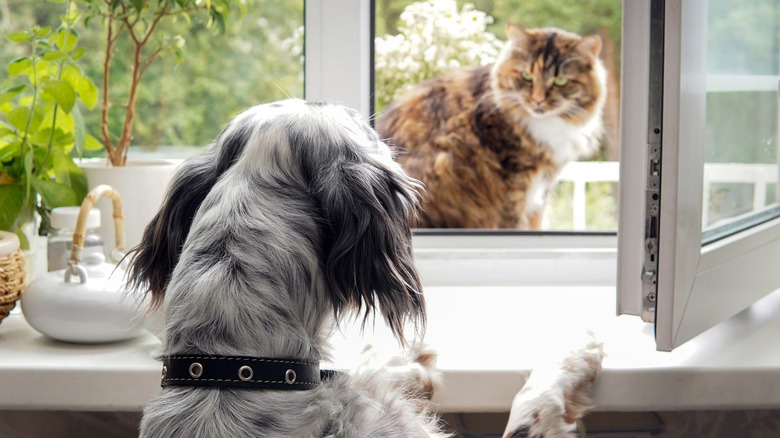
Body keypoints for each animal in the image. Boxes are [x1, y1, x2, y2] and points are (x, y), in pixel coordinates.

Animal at [374, 23, 608, 229]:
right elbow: (516, 223)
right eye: (526, 76)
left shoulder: (542, 188)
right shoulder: (516, 186)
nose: (538, 100)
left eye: (561, 81)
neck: (547, 124)